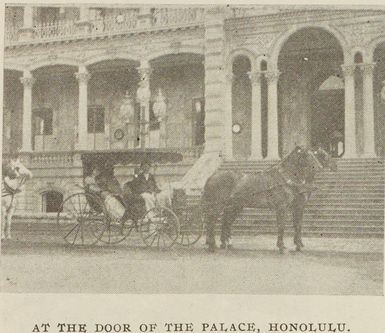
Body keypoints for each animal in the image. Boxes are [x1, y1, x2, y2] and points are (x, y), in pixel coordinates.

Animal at [201, 145, 336, 252]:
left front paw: (298, 245)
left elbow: (297, 225)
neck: (285, 178)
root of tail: (211, 177)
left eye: (315, 155)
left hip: (234, 206)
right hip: (218, 205)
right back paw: (212, 245)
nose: (320, 167)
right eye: (307, 155)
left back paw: (224, 244)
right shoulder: (283, 207)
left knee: (225, 222)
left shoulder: (296, 207)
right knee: (211, 221)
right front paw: (282, 246)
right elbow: (282, 226)